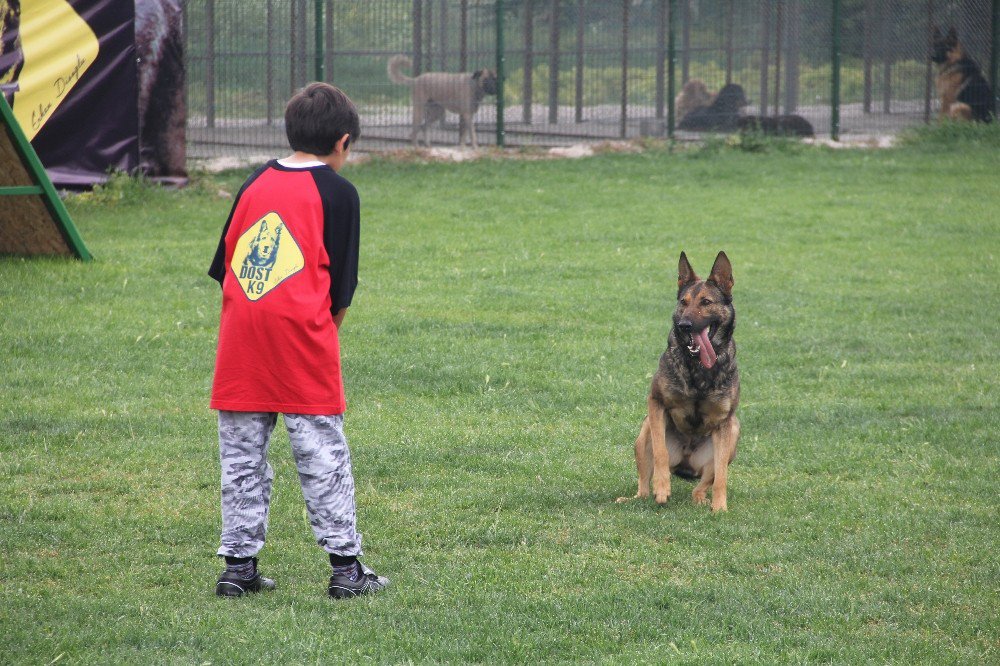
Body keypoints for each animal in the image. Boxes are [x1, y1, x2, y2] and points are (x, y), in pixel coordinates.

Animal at [620, 252, 740, 510]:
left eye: (706, 302)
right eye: (683, 302)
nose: (684, 325)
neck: (698, 368)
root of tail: (686, 465)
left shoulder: (725, 422)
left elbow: (721, 476)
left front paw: (720, 508)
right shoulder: (656, 403)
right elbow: (660, 452)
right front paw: (662, 488)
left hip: (734, 431)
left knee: (701, 486)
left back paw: (703, 500)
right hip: (644, 430)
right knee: (644, 485)